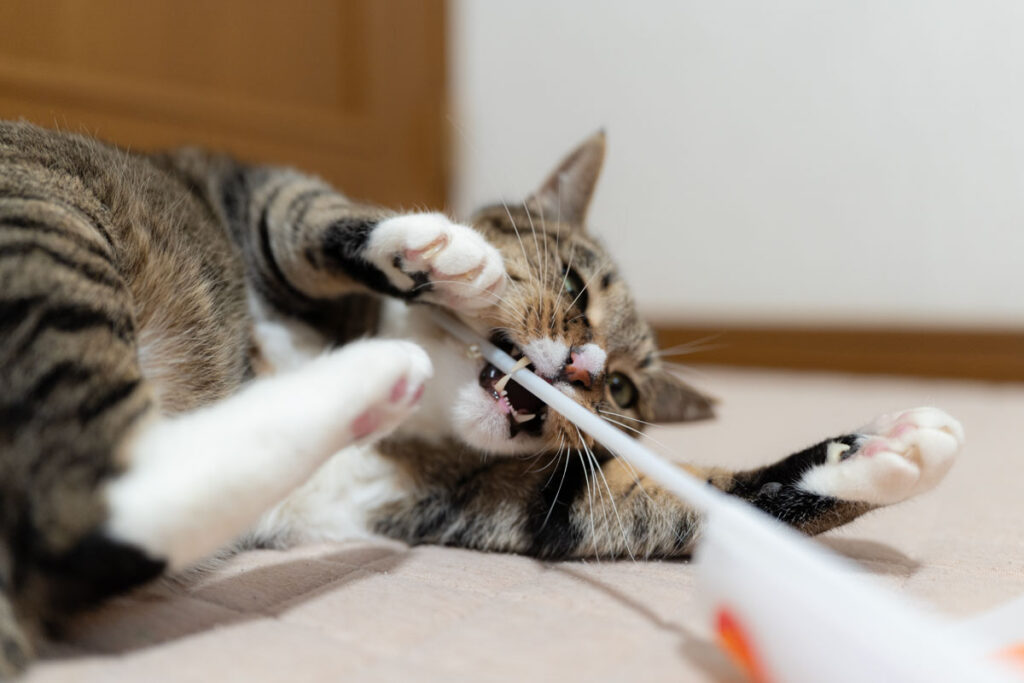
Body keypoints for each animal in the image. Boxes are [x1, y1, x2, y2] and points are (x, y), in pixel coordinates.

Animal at [0, 120, 961, 674]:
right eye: (574, 285)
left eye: (621, 388)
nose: (583, 367)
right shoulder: (247, 190)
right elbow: (307, 215)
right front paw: (445, 256)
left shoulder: (481, 497)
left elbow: (675, 500)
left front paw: (896, 450)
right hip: (49, 210)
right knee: (73, 485)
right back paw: (378, 360)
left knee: (87, 509)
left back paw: (368, 375)